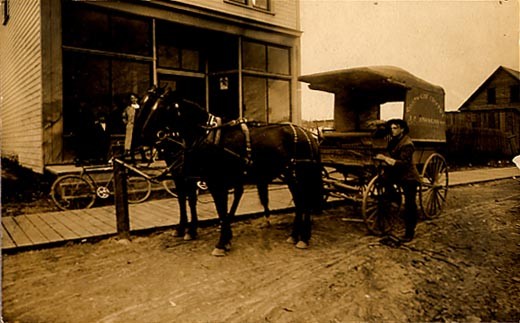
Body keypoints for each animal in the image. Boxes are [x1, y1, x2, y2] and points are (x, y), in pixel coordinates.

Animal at [136, 87, 322, 256]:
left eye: (161, 108)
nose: (142, 134)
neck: (207, 135)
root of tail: (309, 134)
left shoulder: (215, 181)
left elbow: (219, 208)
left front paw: (220, 242)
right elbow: (214, 207)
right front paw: (223, 239)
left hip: (300, 174)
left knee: (304, 201)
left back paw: (304, 238)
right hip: (290, 175)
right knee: (300, 202)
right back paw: (295, 235)